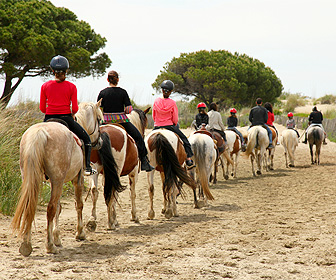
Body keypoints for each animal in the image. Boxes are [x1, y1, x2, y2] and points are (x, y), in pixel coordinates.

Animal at [10, 100, 122, 256]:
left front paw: (57, 237)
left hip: (31, 178)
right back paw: (49, 246)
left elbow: (59, 207)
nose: (99, 142)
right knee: (50, 208)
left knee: (30, 206)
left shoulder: (54, 182)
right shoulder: (77, 179)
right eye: (99, 119)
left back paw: (26, 245)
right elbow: (78, 204)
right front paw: (79, 233)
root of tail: (39, 133)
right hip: (57, 180)